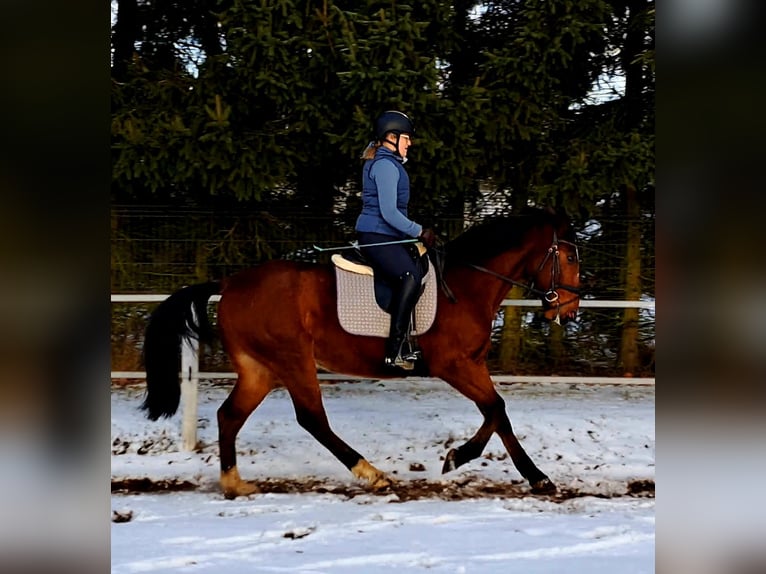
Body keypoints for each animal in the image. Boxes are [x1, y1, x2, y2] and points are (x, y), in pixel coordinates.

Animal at [140, 207, 581, 498]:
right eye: (571, 255)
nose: (569, 309)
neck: (467, 285)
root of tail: (230, 283)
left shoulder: (472, 365)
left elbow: (497, 413)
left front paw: (483, 463)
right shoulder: (454, 365)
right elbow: (497, 409)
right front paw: (487, 464)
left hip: (260, 369)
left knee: (230, 416)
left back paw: (235, 484)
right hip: (292, 360)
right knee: (312, 419)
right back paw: (372, 473)